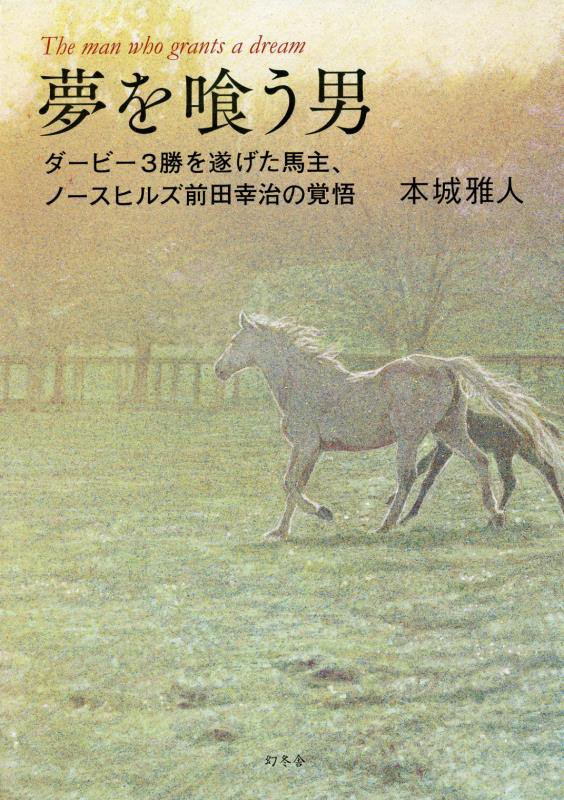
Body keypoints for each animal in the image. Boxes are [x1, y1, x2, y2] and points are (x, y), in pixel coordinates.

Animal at [388, 409, 563, 522]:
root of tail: (539, 422)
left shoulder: (446, 448)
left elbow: (428, 479)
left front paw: (409, 514)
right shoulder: (442, 446)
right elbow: (421, 466)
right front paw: (392, 499)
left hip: (504, 454)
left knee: (511, 480)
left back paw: (495, 516)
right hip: (524, 451)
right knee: (547, 469)